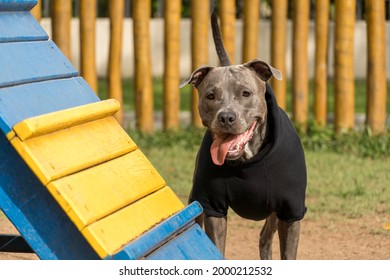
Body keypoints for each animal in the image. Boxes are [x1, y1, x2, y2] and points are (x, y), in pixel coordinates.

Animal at [181, 12, 308, 258]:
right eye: (210, 96)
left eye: (246, 93)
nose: (226, 117)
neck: (247, 160)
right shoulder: (213, 207)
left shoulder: (290, 211)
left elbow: (289, 252)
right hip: (197, 199)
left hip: (274, 213)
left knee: (265, 237)